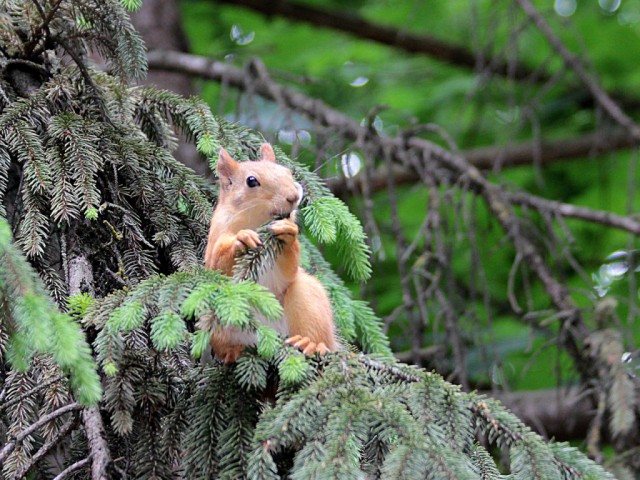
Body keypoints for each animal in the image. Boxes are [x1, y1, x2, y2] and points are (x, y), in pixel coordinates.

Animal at [205, 144, 338, 362]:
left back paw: (309, 343)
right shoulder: (214, 238)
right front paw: (241, 240)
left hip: (308, 300)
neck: (256, 222)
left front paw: (288, 232)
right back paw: (233, 351)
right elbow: (218, 265)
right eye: (251, 181)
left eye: (287, 172)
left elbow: (288, 269)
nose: (293, 197)